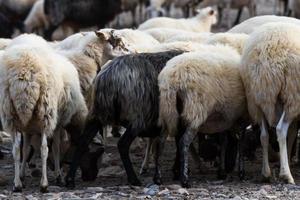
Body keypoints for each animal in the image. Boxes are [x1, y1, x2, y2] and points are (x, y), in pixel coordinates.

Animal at [0, 34, 88, 192]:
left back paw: (17, 184)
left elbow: (25, 149)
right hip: (47, 112)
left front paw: (22, 174)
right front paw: (59, 176)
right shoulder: (58, 123)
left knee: (15, 150)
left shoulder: (28, 127)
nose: (88, 177)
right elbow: (56, 148)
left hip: (10, 113)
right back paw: (44, 184)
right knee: (44, 149)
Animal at [64, 49, 184, 188]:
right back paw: (134, 179)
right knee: (122, 144)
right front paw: (177, 171)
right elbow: (179, 143)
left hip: (98, 114)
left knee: (83, 142)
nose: (89, 177)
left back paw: (70, 180)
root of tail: (108, 78)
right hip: (137, 117)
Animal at [158, 44, 247, 187]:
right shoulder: (239, 118)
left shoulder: (223, 118)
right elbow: (240, 142)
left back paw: (158, 177)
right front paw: (240, 173)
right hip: (196, 112)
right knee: (183, 142)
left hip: (168, 110)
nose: (229, 166)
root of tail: (174, 77)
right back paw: (185, 179)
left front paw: (221, 172)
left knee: (160, 141)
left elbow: (223, 142)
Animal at [240, 22, 300, 184]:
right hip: (292, 95)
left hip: (257, 98)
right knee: (280, 130)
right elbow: (291, 133)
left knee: (263, 135)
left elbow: (292, 133)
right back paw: (286, 175)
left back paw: (266, 173)